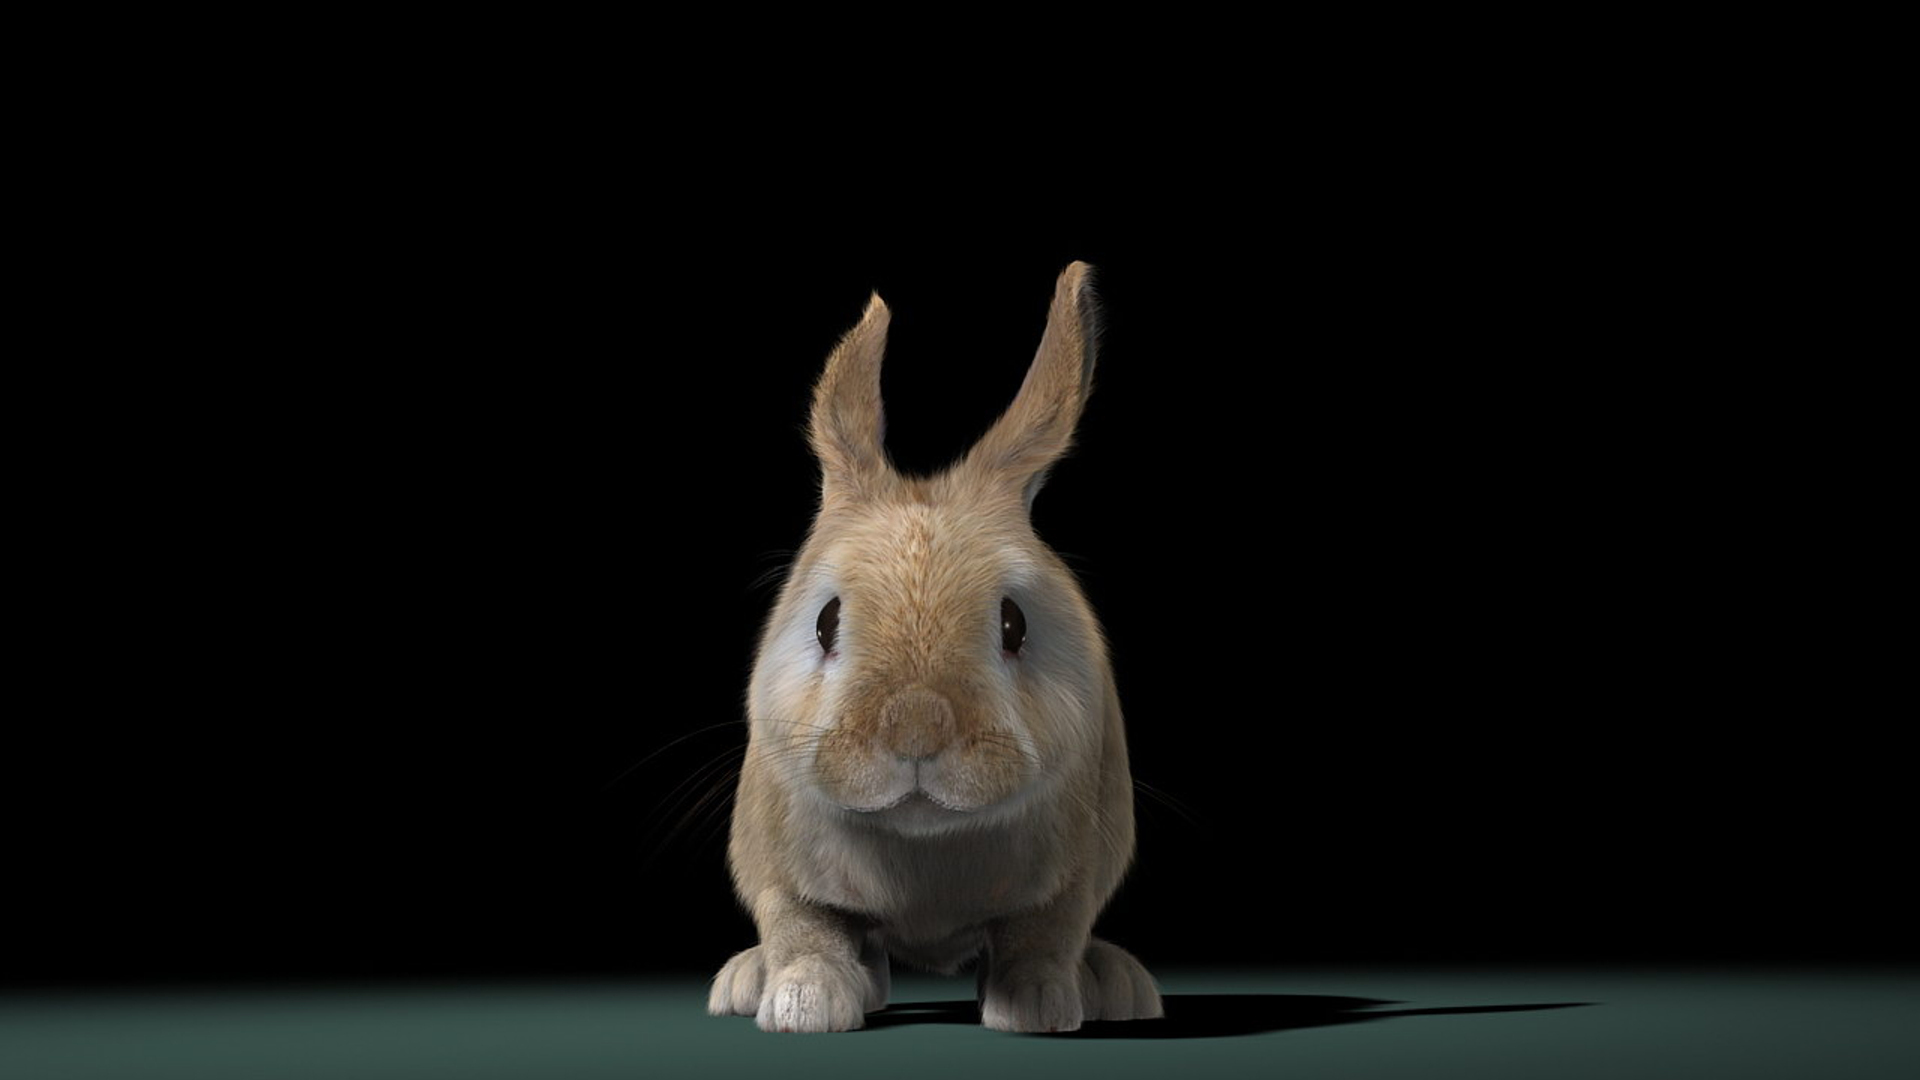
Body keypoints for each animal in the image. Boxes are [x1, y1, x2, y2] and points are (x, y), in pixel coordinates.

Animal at [707, 261, 1162, 1034]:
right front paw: (805, 1002)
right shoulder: (773, 862)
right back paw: (747, 980)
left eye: (1014, 623)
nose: (915, 728)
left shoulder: (1074, 872)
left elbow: (1046, 933)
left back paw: (1116, 984)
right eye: (826, 621)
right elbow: (802, 924)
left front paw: (1038, 1003)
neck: (924, 847)